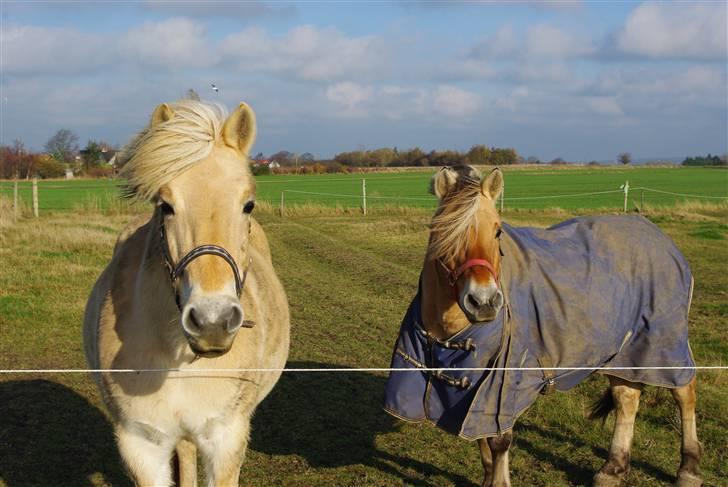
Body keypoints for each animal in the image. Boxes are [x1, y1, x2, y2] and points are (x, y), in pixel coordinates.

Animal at [384, 166, 704, 486]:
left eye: (497, 231)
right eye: (441, 233)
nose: (484, 301)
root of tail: (661, 238)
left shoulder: (503, 383)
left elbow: (499, 441)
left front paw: (499, 481)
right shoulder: (470, 387)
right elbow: (481, 439)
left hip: (665, 343)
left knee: (684, 392)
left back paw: (688, 469)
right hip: (625, 351)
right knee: (627, 397)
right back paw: (613, 470)